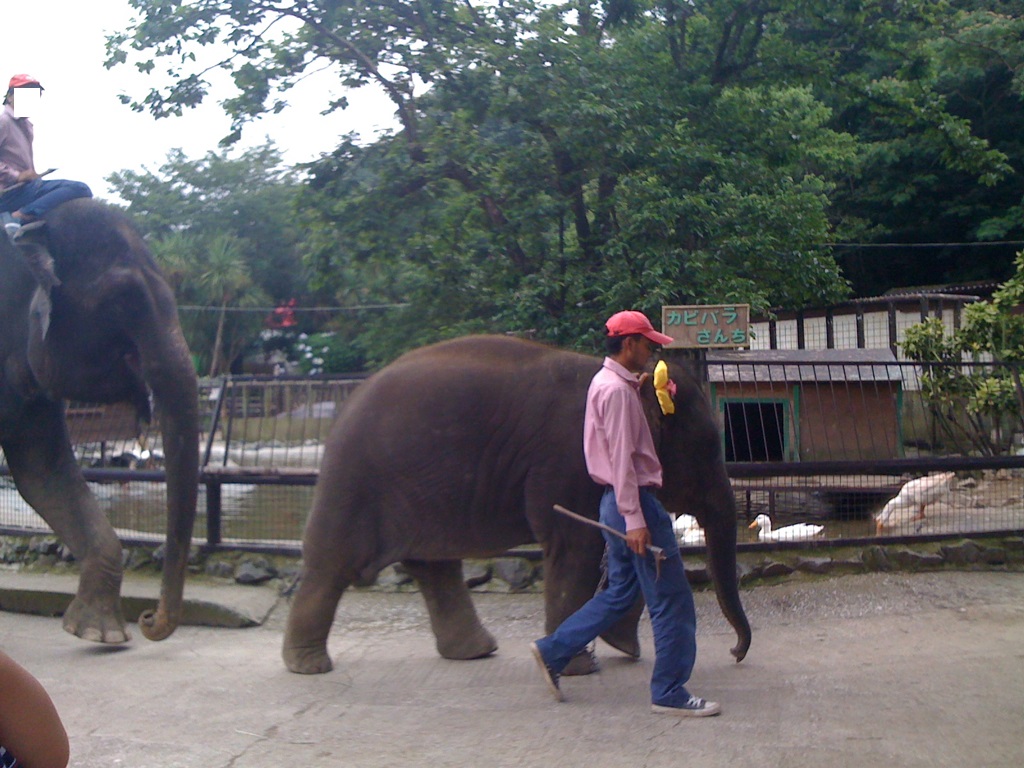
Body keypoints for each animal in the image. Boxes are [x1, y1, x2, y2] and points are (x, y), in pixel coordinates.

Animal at [284, 335, 757, 679]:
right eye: (705, 447)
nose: (734, 652)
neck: (628, 377)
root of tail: (342, 409)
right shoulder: (571, 461)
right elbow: (576, 550)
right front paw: (579, 667)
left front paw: (622, 646)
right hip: (354, 484)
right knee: (334, 564)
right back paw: (309, 665)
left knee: (434, 566)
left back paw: (476, 652)